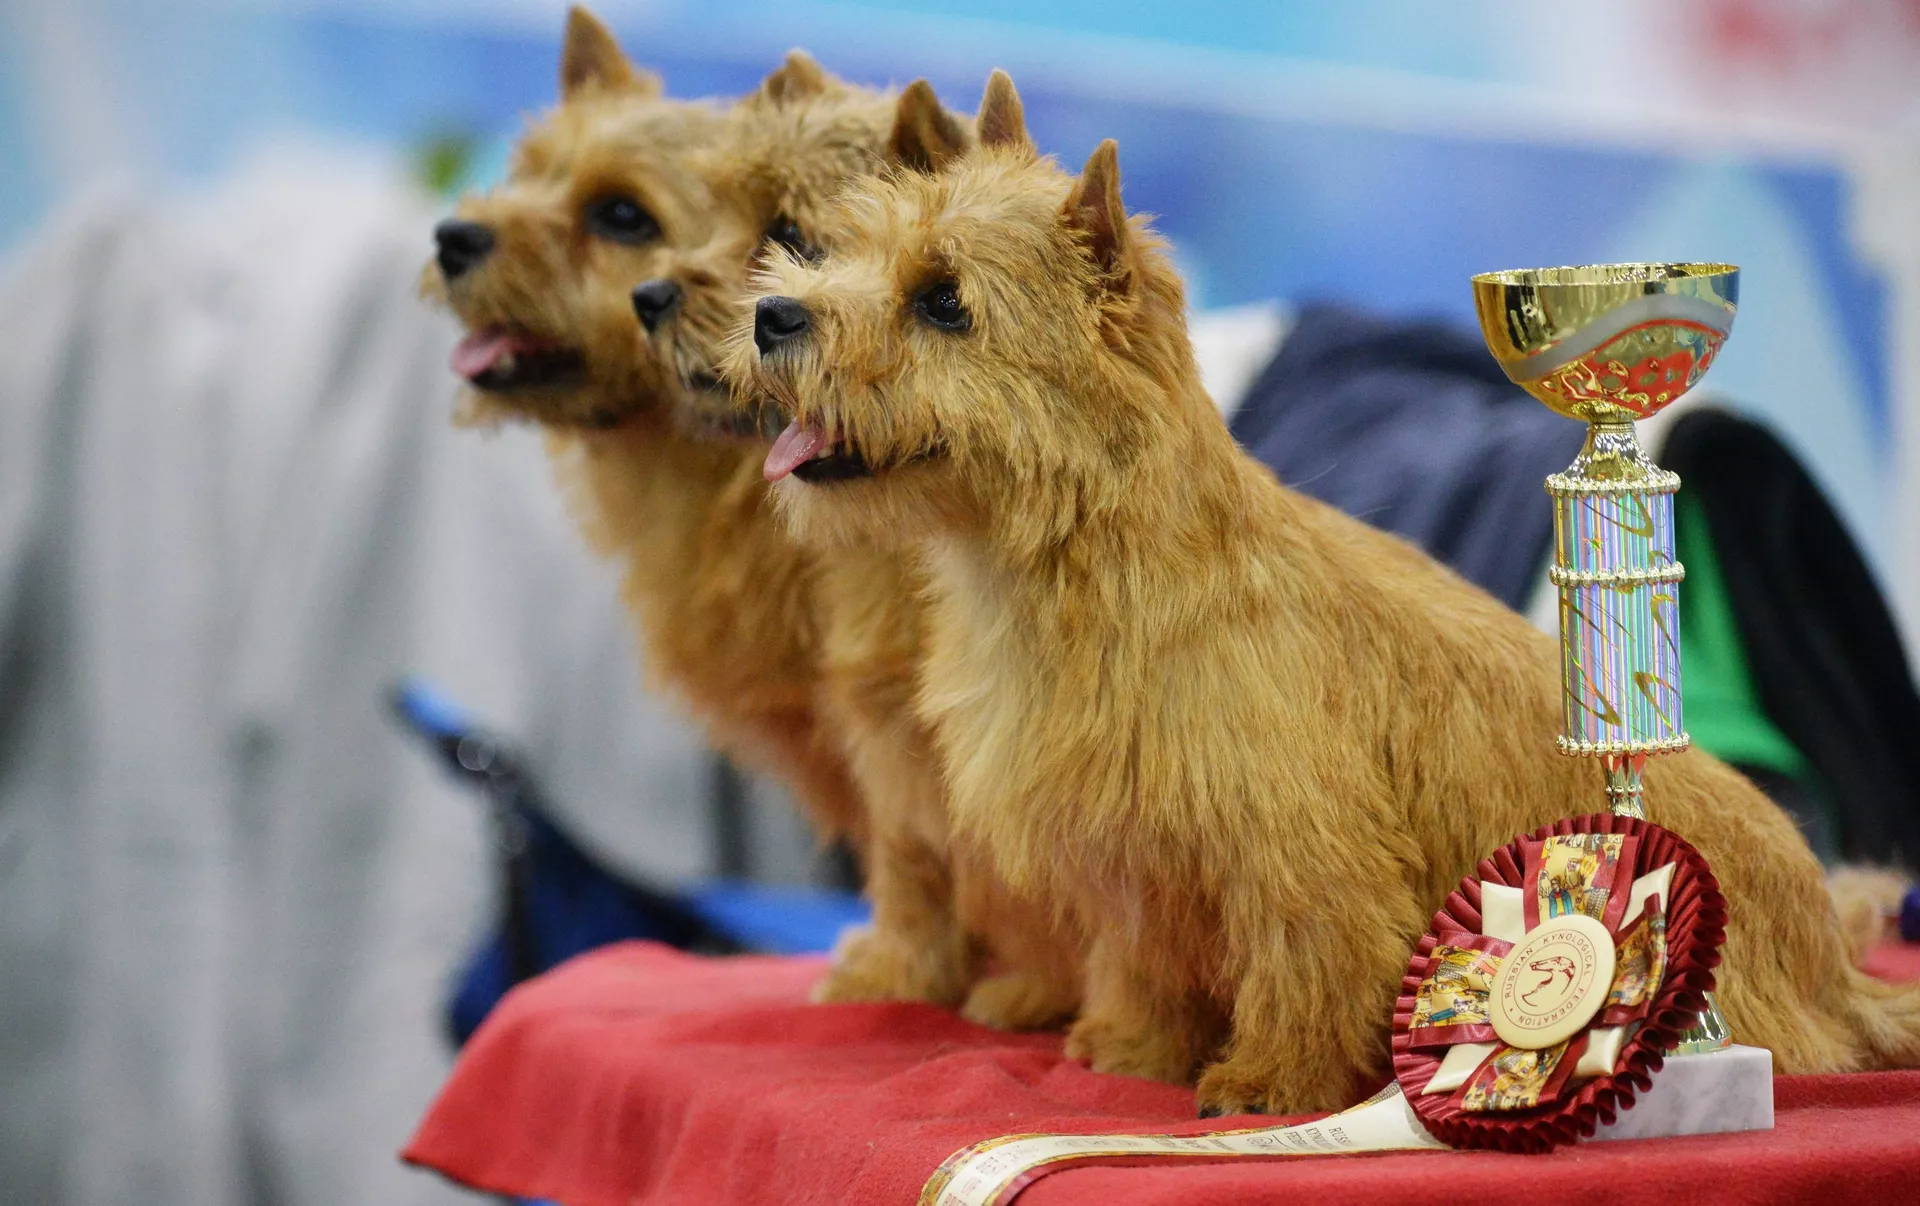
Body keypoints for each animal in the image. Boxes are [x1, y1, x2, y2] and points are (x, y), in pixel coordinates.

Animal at [729, 69, 1920, 1115]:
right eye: (838, 252)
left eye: (943, 303)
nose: (774, 316)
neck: (1089, 577)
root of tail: (1832, 966)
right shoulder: (1135, 862)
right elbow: (1142, 958)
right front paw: (1131, 1049)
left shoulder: (1298, 848)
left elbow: (1308, 960)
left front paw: (1270, 1083)